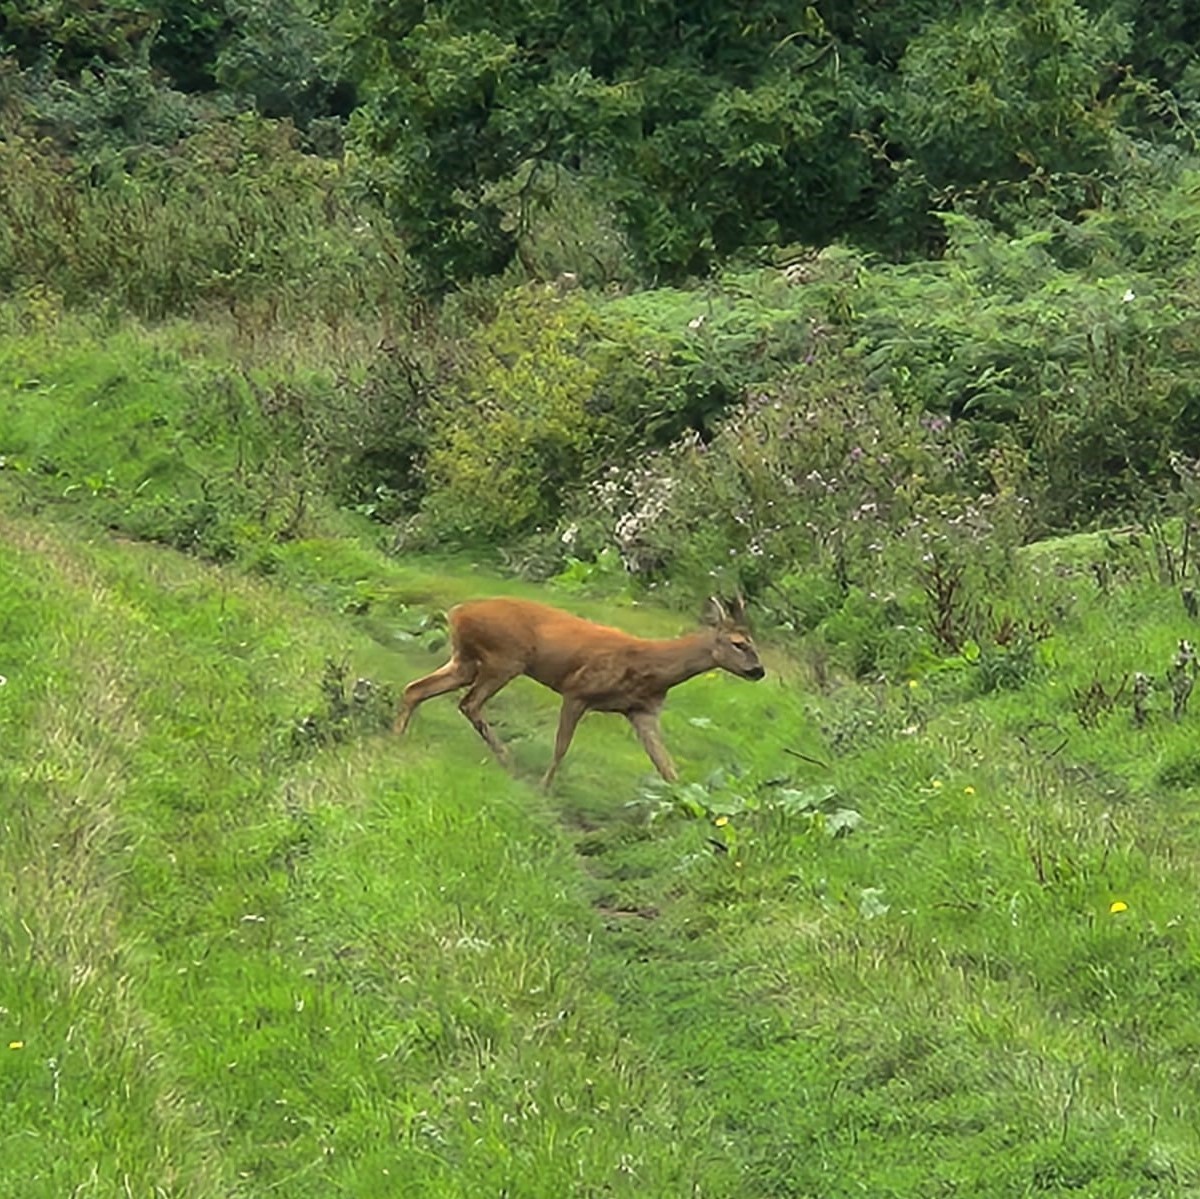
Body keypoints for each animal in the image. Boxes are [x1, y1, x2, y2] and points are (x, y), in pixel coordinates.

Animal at [394, 595, 765, 789]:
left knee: (416, 689)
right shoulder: (578, 690)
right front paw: (544, 788)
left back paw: (396, 736)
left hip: (466, 660)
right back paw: (508, 761)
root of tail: (456, 612)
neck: (649, 668)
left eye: (753, 643)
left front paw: (684, 806)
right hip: (505, 658)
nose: (759, 671)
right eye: (739, 643)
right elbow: (561, 747)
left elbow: (666, 766)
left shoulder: (642, 711)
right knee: (468, 703)